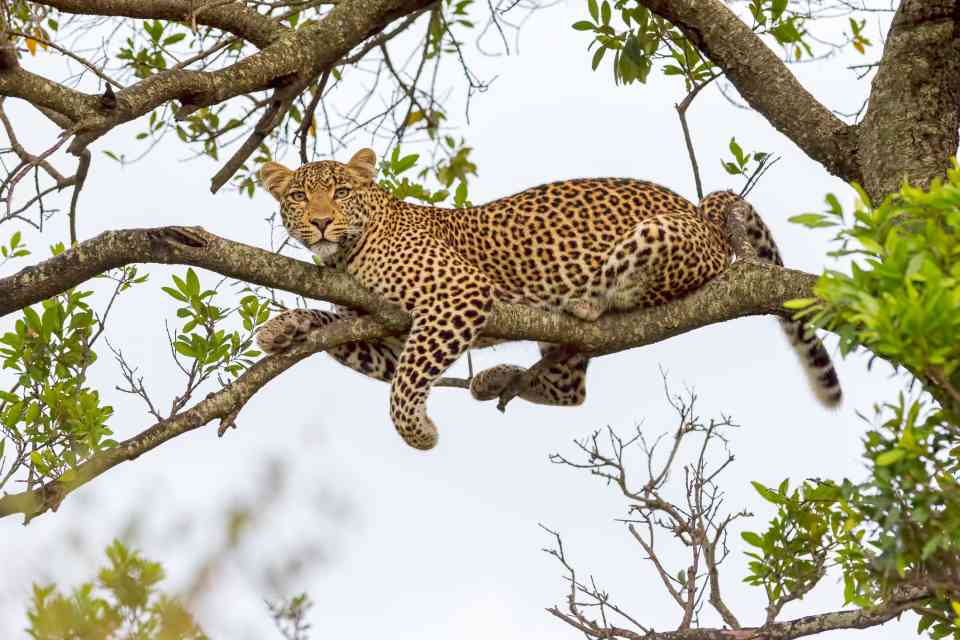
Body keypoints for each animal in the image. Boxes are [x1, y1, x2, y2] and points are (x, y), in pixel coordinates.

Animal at [256, 148, 842, 450]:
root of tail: (702, 211)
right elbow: (345, 335)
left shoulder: (457, 295)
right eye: (298, 196)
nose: (321, 221)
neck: (345, 258)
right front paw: (281, 327)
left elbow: (405, 383)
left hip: (656, 236)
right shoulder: (386, 331)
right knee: (570, 388)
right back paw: (499, 378)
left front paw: (418, 431)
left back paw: (581, 305)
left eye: (342, 192)